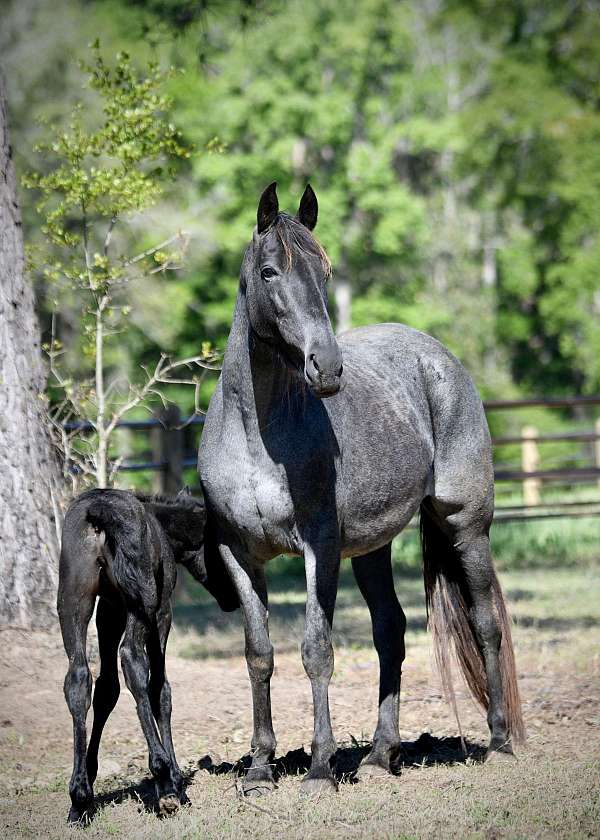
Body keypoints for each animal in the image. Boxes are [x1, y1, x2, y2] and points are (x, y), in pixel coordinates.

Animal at [57, 488, 238, 824]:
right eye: (224, 550)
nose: (233, 599)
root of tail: (99, 513)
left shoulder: (110, 609)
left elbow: (106, 689)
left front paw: (89, 777)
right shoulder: (162, 612)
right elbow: (159, 690)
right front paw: (176, 780)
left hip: (74, 600)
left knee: (78, 678)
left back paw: (79, 797)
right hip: (143, 601)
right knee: (133, 661)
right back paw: (163, 779)